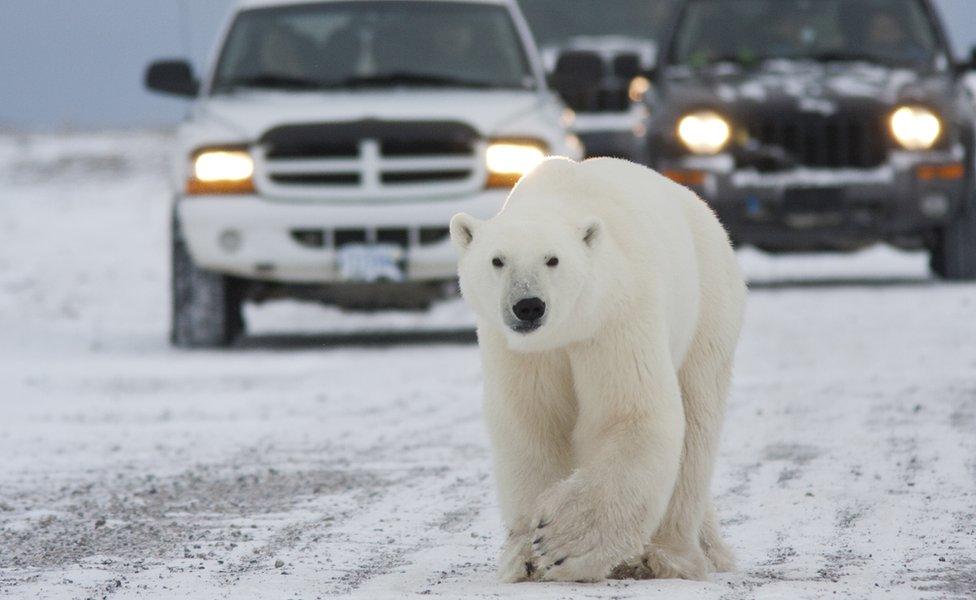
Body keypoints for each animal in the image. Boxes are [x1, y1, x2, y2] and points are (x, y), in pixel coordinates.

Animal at [452, 157, 748, 584]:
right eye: (497, 260)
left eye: (552, 259)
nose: (528, 306)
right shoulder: (522, 352)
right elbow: (531, 423)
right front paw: (524, 558)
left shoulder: (615, 316)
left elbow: (630, 414)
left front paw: (562, 543)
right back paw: (708, 550)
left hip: (707, 309)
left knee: (696, 422)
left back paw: (667, 557)